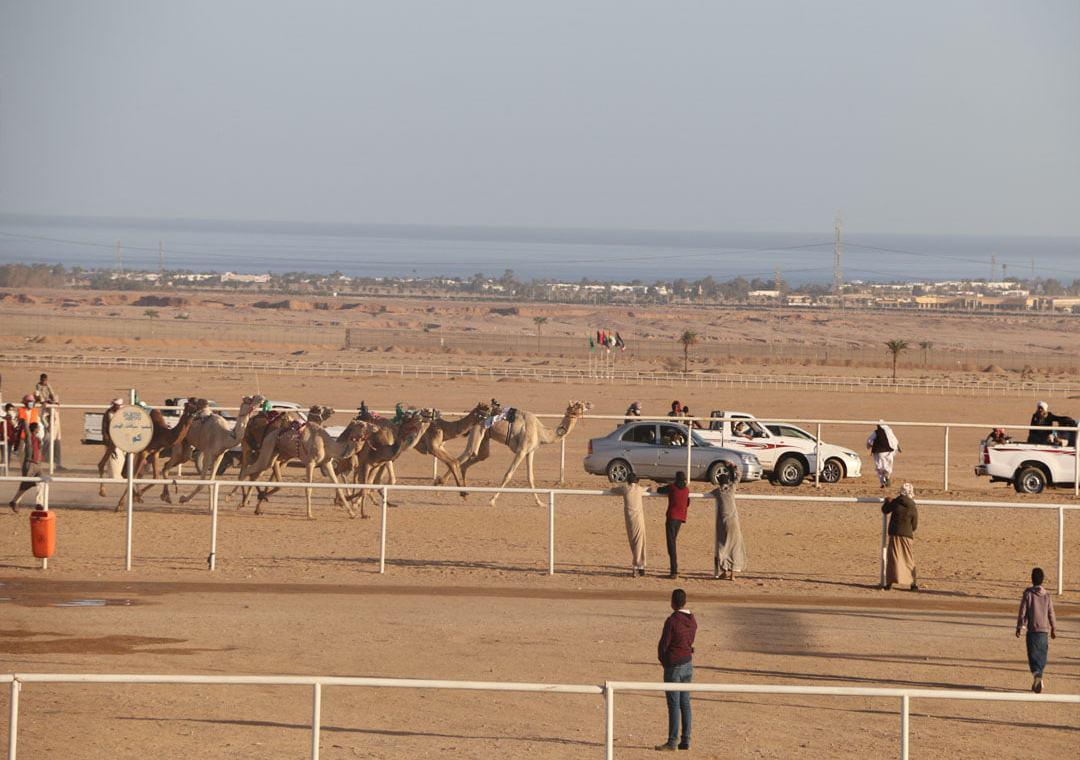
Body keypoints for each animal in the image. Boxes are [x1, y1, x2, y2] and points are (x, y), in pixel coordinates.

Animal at [240, 412, 380, 520]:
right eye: (361, 424)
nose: (375, 427)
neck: (327, 444)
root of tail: (270, 434)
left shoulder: (327, 463)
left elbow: (338, 487)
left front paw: (352, 513)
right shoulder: (310, 463)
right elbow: (308, 488)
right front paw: (310, 515)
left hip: (275, 453)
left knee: (257, 471)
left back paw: (254, 503)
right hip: (268, 447)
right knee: (248, 470)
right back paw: (240, 503)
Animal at [453, 401, 596, 507]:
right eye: (579, 404)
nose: (590, 404)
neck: (541, 432)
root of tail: (470, 414)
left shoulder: (530, 451)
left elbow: (530, 477)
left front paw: (540, 503)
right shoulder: (521, 450)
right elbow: (508, 475)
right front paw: (492, 500)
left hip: (484, 438)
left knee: (474, 459)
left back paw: (464, 494)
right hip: (477, 429)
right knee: (461, 458)